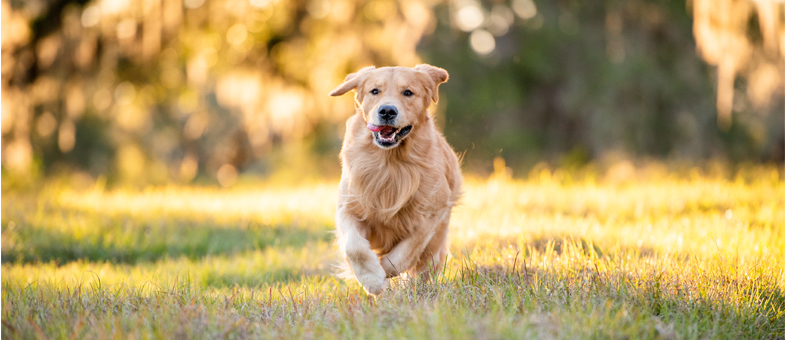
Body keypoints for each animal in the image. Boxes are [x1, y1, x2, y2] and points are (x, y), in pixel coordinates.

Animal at [328, 65, 462, 296]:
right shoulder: (348, 208)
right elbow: (354, 247)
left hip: (437, 237)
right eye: (374, 91)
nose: (387, 111)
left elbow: (406, 252)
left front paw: (382, 271)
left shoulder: (430, 214)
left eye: (408, 92)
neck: (390, 164)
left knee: (424, 266)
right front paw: (372, 278)